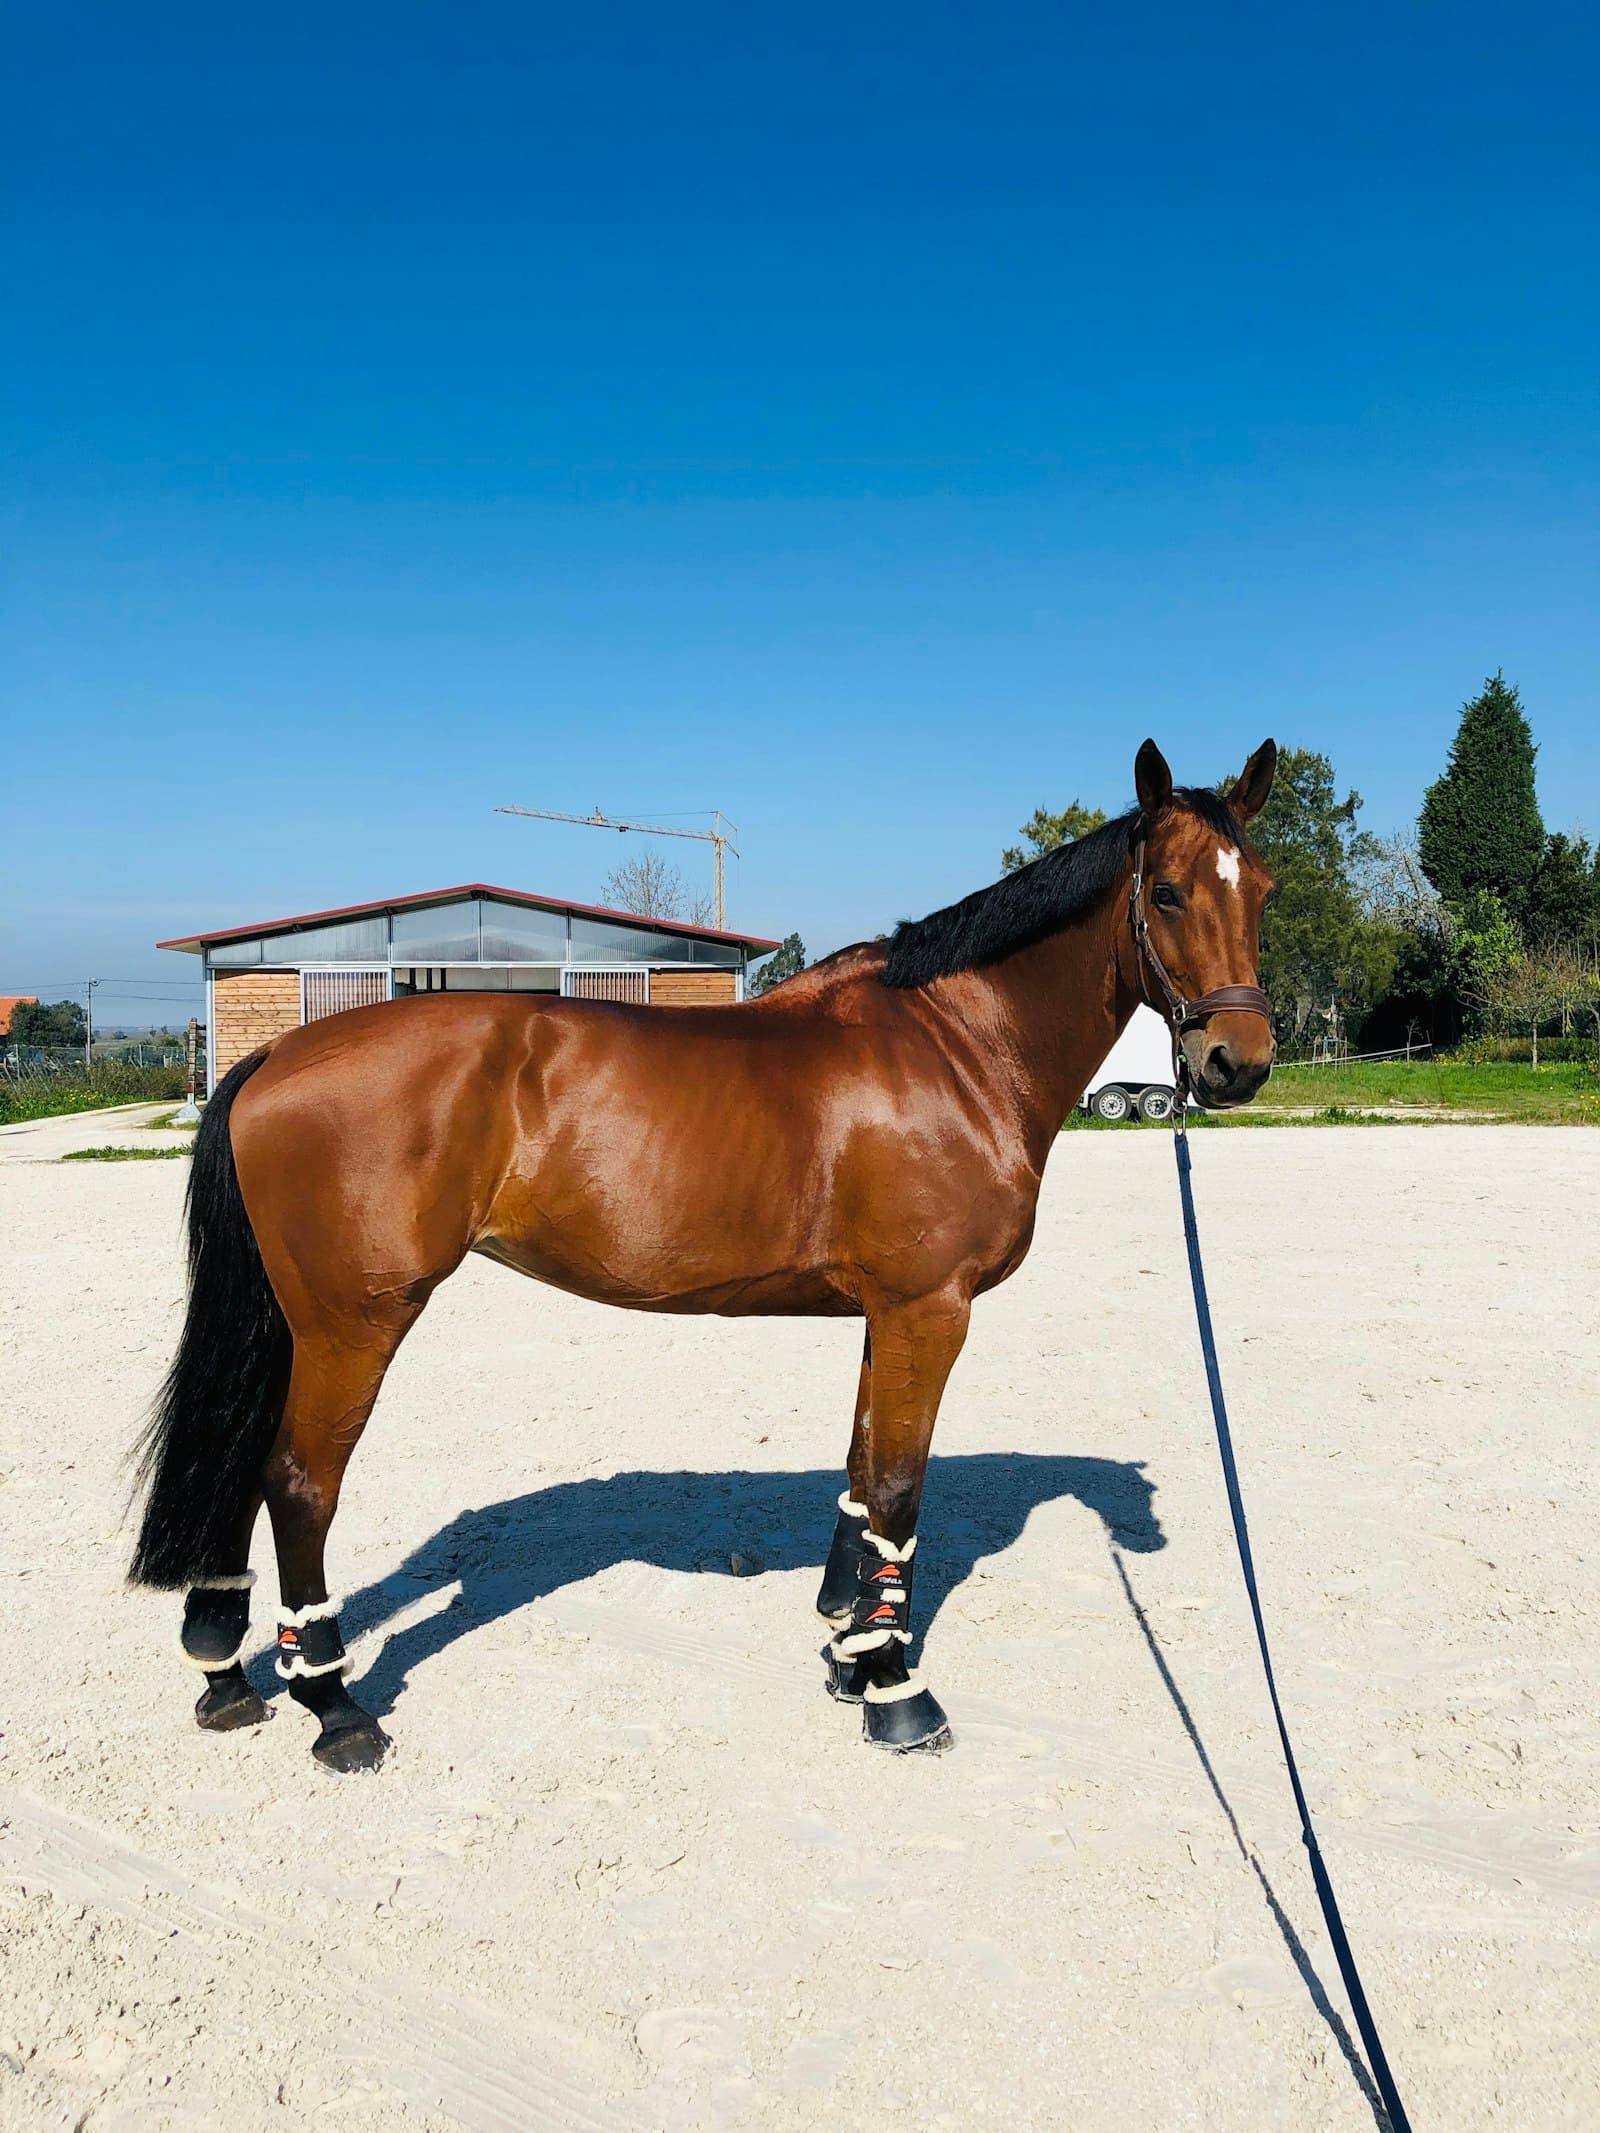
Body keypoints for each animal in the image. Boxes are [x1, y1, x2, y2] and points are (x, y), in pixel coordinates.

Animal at [130, 737, 1277, 1772]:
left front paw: (851, 1649)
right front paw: (897, 1692)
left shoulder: (887, 1315)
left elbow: (862, 1476)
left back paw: (225, 1670)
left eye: (1260, 891)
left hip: (297, 1322)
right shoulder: (929, 1309)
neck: (954, 1048)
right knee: (299, 1482)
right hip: (355, 1321)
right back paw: (333, 1705)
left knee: (240, 1453)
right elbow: (900, 1491)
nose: (1238, 1063)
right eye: (1167, 892)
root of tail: (279, 1051)